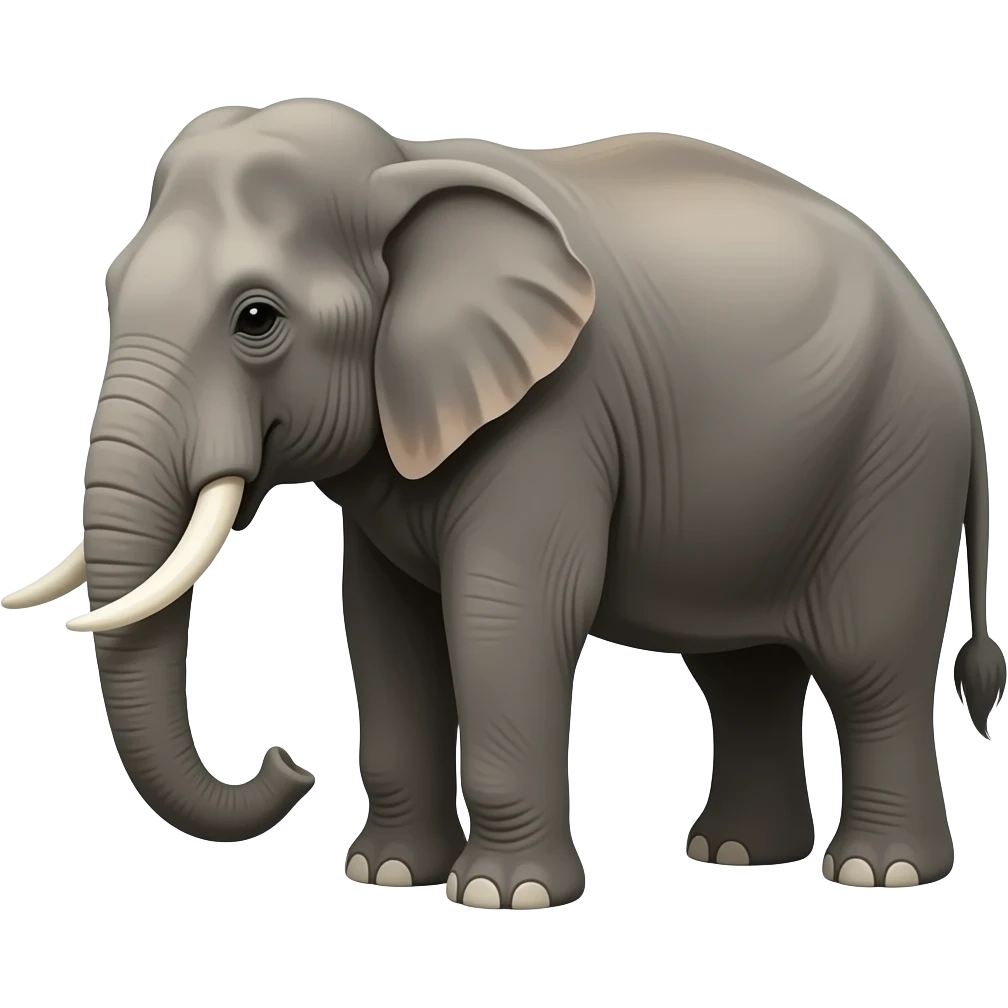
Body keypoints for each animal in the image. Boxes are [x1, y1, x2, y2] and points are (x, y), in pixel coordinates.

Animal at [4, 100, 1004, 906]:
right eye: (111, 290)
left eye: (258, 319)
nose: (289, 763)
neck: (400, 162)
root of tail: (954, 355)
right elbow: (384, 627)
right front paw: (386, 876)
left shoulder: (554, 419)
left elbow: (505, 614)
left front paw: (499, 896)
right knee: (743, 670)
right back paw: (734, 854)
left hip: (897, 464)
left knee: (869, 661)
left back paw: (879, 873)